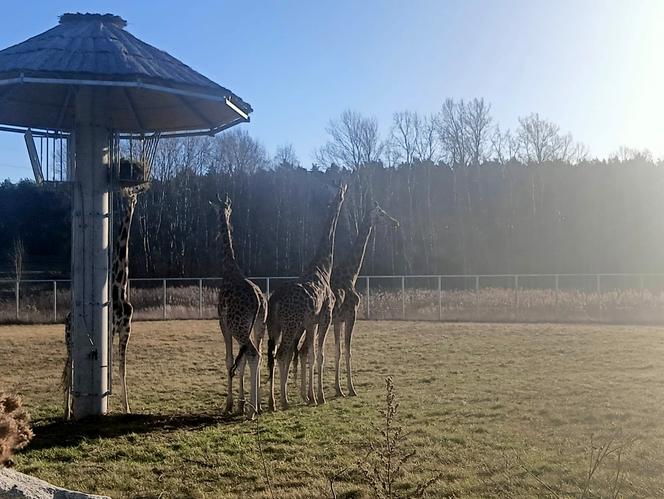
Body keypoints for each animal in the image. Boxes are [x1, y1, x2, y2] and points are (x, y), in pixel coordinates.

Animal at [62, 184, 144, 418]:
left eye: (134, 193)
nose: (130, 197)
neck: (119, 289)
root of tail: (67, 317)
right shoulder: (113, 330)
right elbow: (111, 366)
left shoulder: (125, 328)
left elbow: (121, 368)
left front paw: (126, 407)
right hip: (70, 338)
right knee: (69, 366)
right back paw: (67, 412)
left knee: (69, 366)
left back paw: (71, 408)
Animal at [210, 194, 268, 418]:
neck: (228, 268)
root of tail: (259, 300)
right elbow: (240, 361)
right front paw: (241, 404)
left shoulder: (223, 323)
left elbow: (229, 359)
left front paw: (230, 404)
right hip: (259, 325)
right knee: (259, 353)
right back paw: (257, 406)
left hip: (239, 327)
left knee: (253, 353)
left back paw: (252, 411)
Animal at [266, 184, 348, 410]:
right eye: (342, 192)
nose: (343, 196)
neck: (323, 268)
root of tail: (275, 300)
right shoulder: (326, 317)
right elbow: (319, 354)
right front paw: (320, 396)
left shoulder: (311, 323)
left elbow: (309, 352)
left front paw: (310, 396)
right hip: (291, 324)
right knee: (282, 353)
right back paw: (283, 401)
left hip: (275, 326)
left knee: (273, 354)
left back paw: (272, 402)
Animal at [330, 201, 396, 396]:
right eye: (381, 213)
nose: (395, 222)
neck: (351, 274)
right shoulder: (351, 315)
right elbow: (347, 350)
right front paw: (351, 389)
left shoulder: (338, 320)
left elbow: (337, 351)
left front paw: (339, 389)